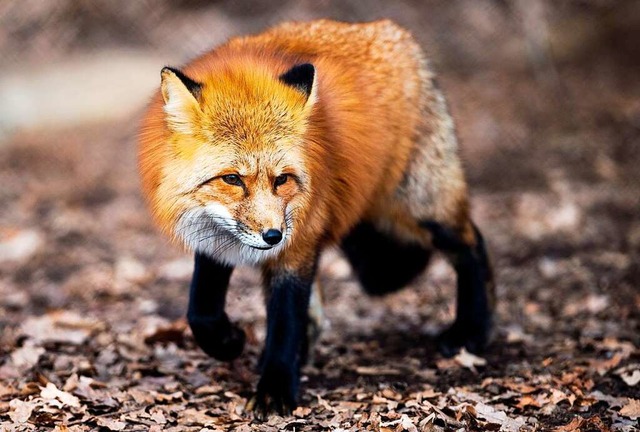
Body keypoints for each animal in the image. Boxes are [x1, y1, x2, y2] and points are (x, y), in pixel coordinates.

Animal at [136, 19, 496, 418]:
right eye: (232, 179)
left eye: (281, 179)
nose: (273, 236)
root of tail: (395, 33)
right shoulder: (214, 235)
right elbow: (201, 311)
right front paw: (230, 342)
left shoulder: (297, 245)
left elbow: (285, 322)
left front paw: (275, 389)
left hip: (421, 209)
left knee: (473, 245)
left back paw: (472, 330)